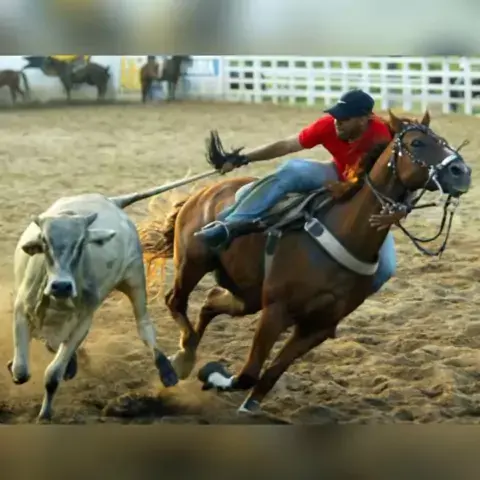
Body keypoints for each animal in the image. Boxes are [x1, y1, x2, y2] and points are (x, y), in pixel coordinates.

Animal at [8, 185, 183, 422]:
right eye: (44, 241)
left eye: (81, 243)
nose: (61, 286)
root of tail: (111, 201)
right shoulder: (22, 310)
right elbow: (21, 370)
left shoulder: (83, 322)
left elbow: (53, 375)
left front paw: (45, 414)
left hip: (135, 278)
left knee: (144, 325)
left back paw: (166, 370)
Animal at [138, 110, 472, 415]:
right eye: (417, 143)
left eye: (442, 141)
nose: (461, 171)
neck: (345, 231)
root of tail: (203, 192)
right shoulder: (276, 311)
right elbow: (248, 373)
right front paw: (213, 374)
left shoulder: (318, 328)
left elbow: (269, 374)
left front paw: (247, 404)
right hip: (194, 262)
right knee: (176, 301)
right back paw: (183, 356)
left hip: (247, 295)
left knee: (209, 302)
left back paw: (186, 356)